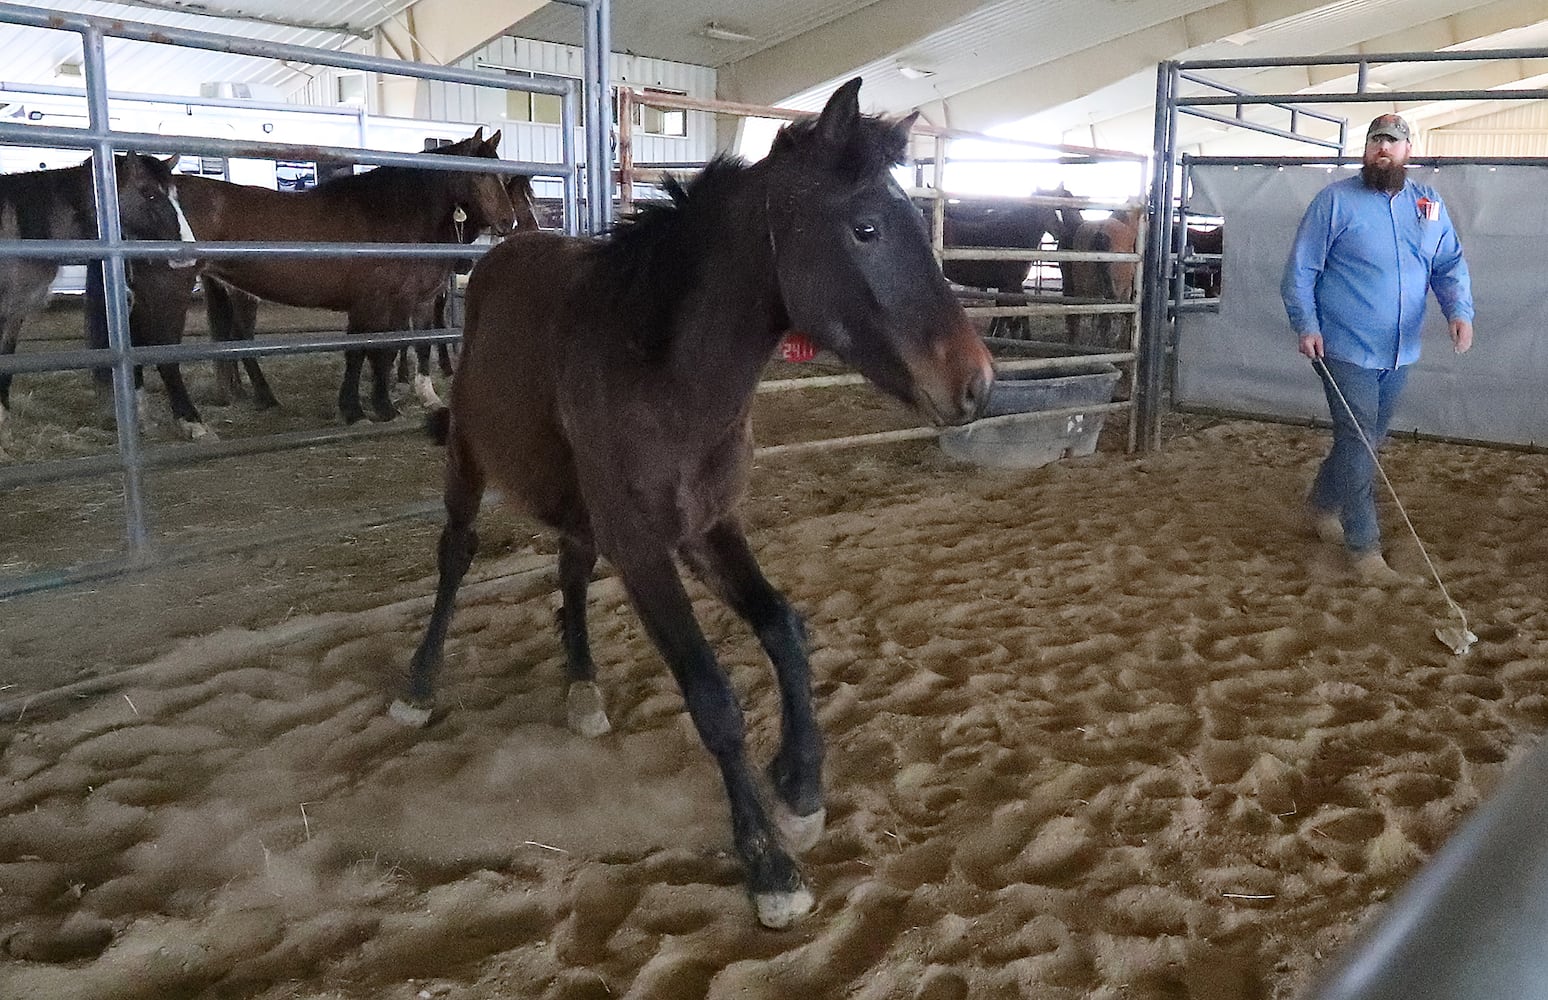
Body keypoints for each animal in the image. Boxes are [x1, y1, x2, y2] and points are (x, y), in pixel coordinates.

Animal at [387, 82, 990, 934]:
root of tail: (500, 256)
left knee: (571, 563)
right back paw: (419, 686)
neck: (666, 375)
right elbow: (713, 698)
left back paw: (582, 687)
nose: (977, 383)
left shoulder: (708, 529)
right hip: (468, 460)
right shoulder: (645, 551)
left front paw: (800, 786)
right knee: (456, 554)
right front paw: (769, 865)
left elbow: (784, 628)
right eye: (866, 227)